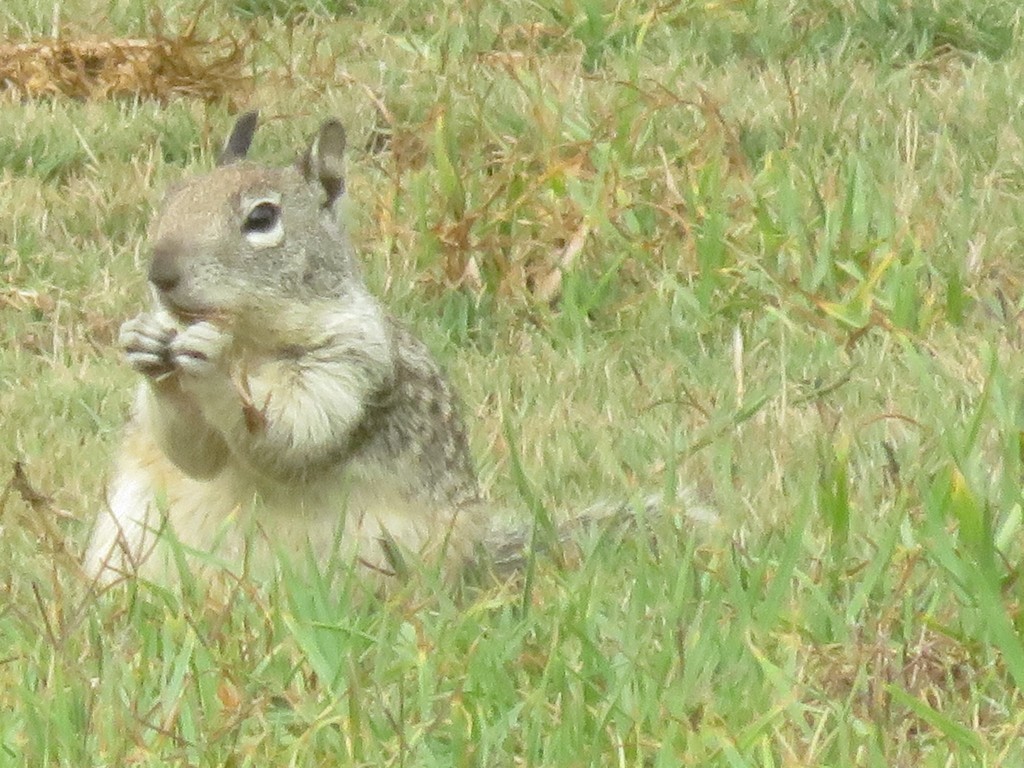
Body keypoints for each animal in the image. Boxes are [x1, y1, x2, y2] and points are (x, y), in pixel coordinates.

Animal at [83, 112, 491, 581]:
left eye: (262, 217)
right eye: (171, 196)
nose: (159, 273)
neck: (247, 344)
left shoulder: (351, 369)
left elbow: (289, 440)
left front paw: (213, 370)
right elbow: (194, 454)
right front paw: (145, 346)